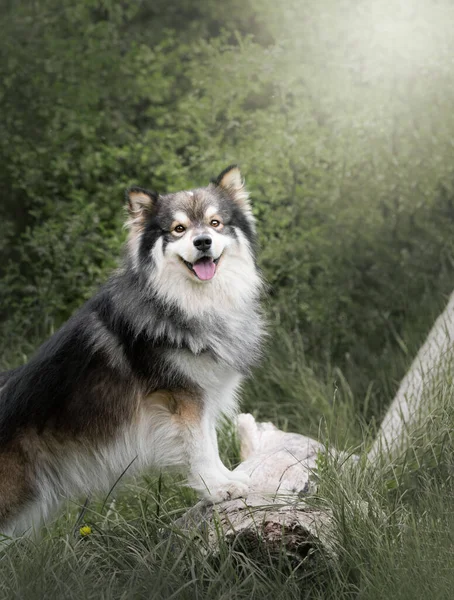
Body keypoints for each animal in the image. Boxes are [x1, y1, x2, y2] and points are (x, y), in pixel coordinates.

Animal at [0, 165, 264, 540]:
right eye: (179, 229)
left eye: (215, 223)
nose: (202, 242)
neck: (186, 302)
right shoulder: (182, 399)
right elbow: (199, 447)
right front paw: (217, 488)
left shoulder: (201, 393)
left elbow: (209, 442)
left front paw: (224, 479)